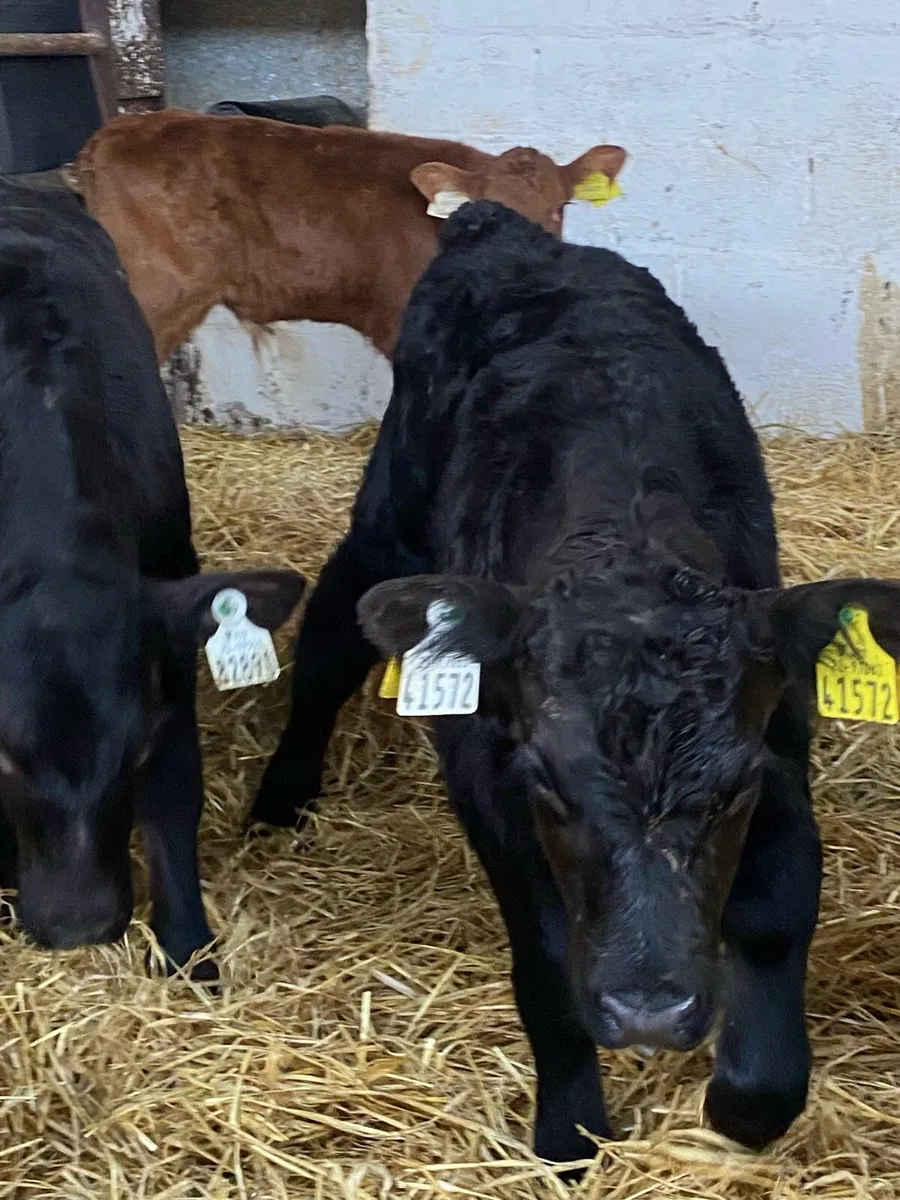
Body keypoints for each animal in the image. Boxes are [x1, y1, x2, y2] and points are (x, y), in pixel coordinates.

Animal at [0, 178, 306, 980]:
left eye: (134, 750)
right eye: (3, 754)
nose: (78, 925)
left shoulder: (169, 654)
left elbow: (175, 807)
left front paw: (190, 953)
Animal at [250, 198, 900, 1167]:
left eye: (732, 792)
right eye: (551, 787)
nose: (649, 1011)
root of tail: (503, 227)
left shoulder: (779, 751)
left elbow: (775, 916)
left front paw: (745, 1103)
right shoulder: (491, 778)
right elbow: (550, 959)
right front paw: (570, 1130)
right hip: (391, 511)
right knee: (332, 636)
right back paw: (281, 795)